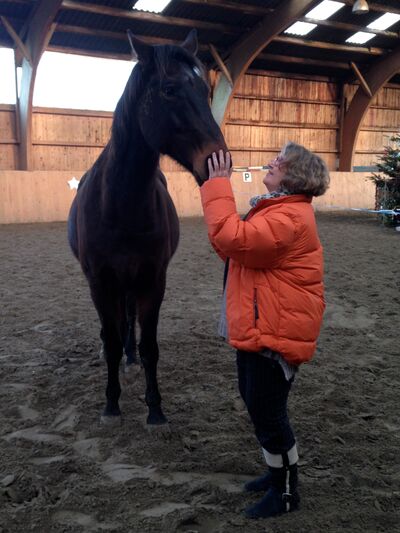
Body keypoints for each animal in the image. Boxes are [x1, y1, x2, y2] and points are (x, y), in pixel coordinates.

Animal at [67, 29, 227, 426]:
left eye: (204, 89)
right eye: (169, 89)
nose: (219, 160)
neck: (121, 204)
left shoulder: (153, 280)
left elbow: (150, 344)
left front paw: (155, 407)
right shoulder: (100, 282)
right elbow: (110, 340)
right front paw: (111, 404)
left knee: (130, 323)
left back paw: (132, 359)